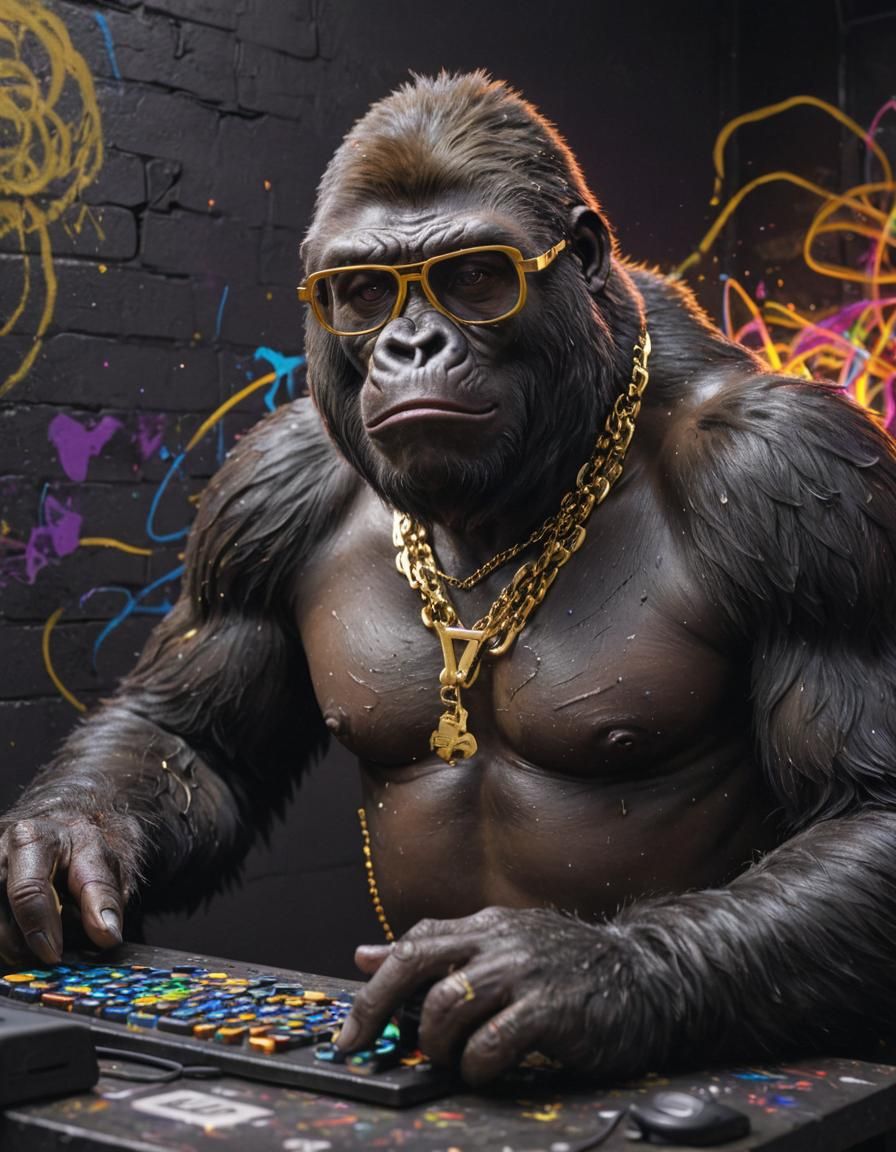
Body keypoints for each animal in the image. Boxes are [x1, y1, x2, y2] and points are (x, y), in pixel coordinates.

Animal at [2, 71, 896, 1087]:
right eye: (360, 294)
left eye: (474, 277)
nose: (412, 344)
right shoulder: (261, 492)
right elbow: (189, 735)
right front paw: (63, 845)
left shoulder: (804, 485)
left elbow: (865, 804)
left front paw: (574, 972)